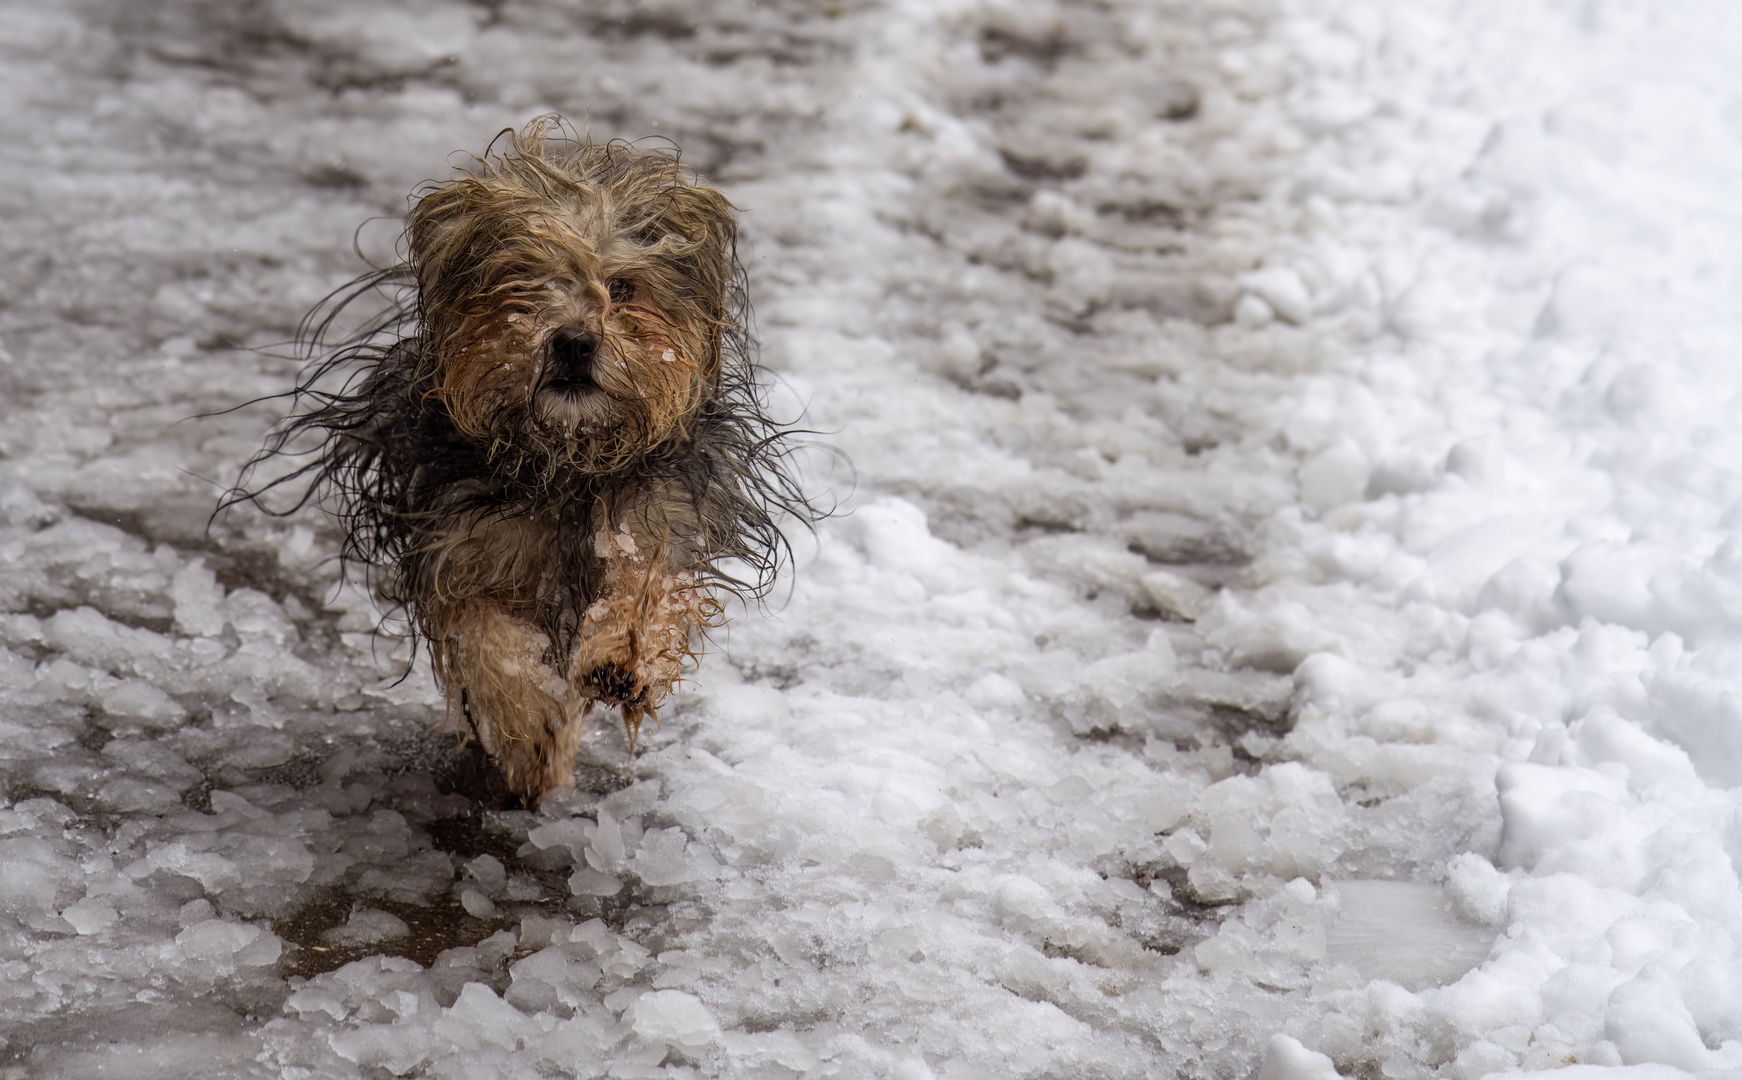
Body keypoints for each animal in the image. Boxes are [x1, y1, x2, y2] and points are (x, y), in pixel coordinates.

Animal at [231, 118, 815, 804]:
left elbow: (648, 587)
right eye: (522, 280)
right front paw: (529, 725)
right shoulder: (463, 544)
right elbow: (488, 639)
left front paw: (622, 659)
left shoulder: (661, 515)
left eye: (623, 287)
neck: (567, 462)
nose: (574, 340)